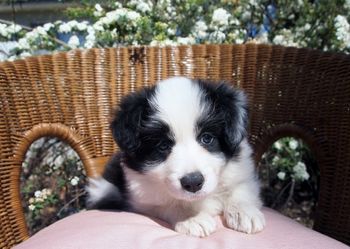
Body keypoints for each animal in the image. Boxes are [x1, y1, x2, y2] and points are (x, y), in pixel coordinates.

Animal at [87, 77, 266, 236]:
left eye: (207, 138)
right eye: (163, 146)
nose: (193, 183)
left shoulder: (242, 171)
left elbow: (241, 189)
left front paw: (244, 213)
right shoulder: (143, 200)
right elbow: (170, 204)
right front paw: (193, 218)